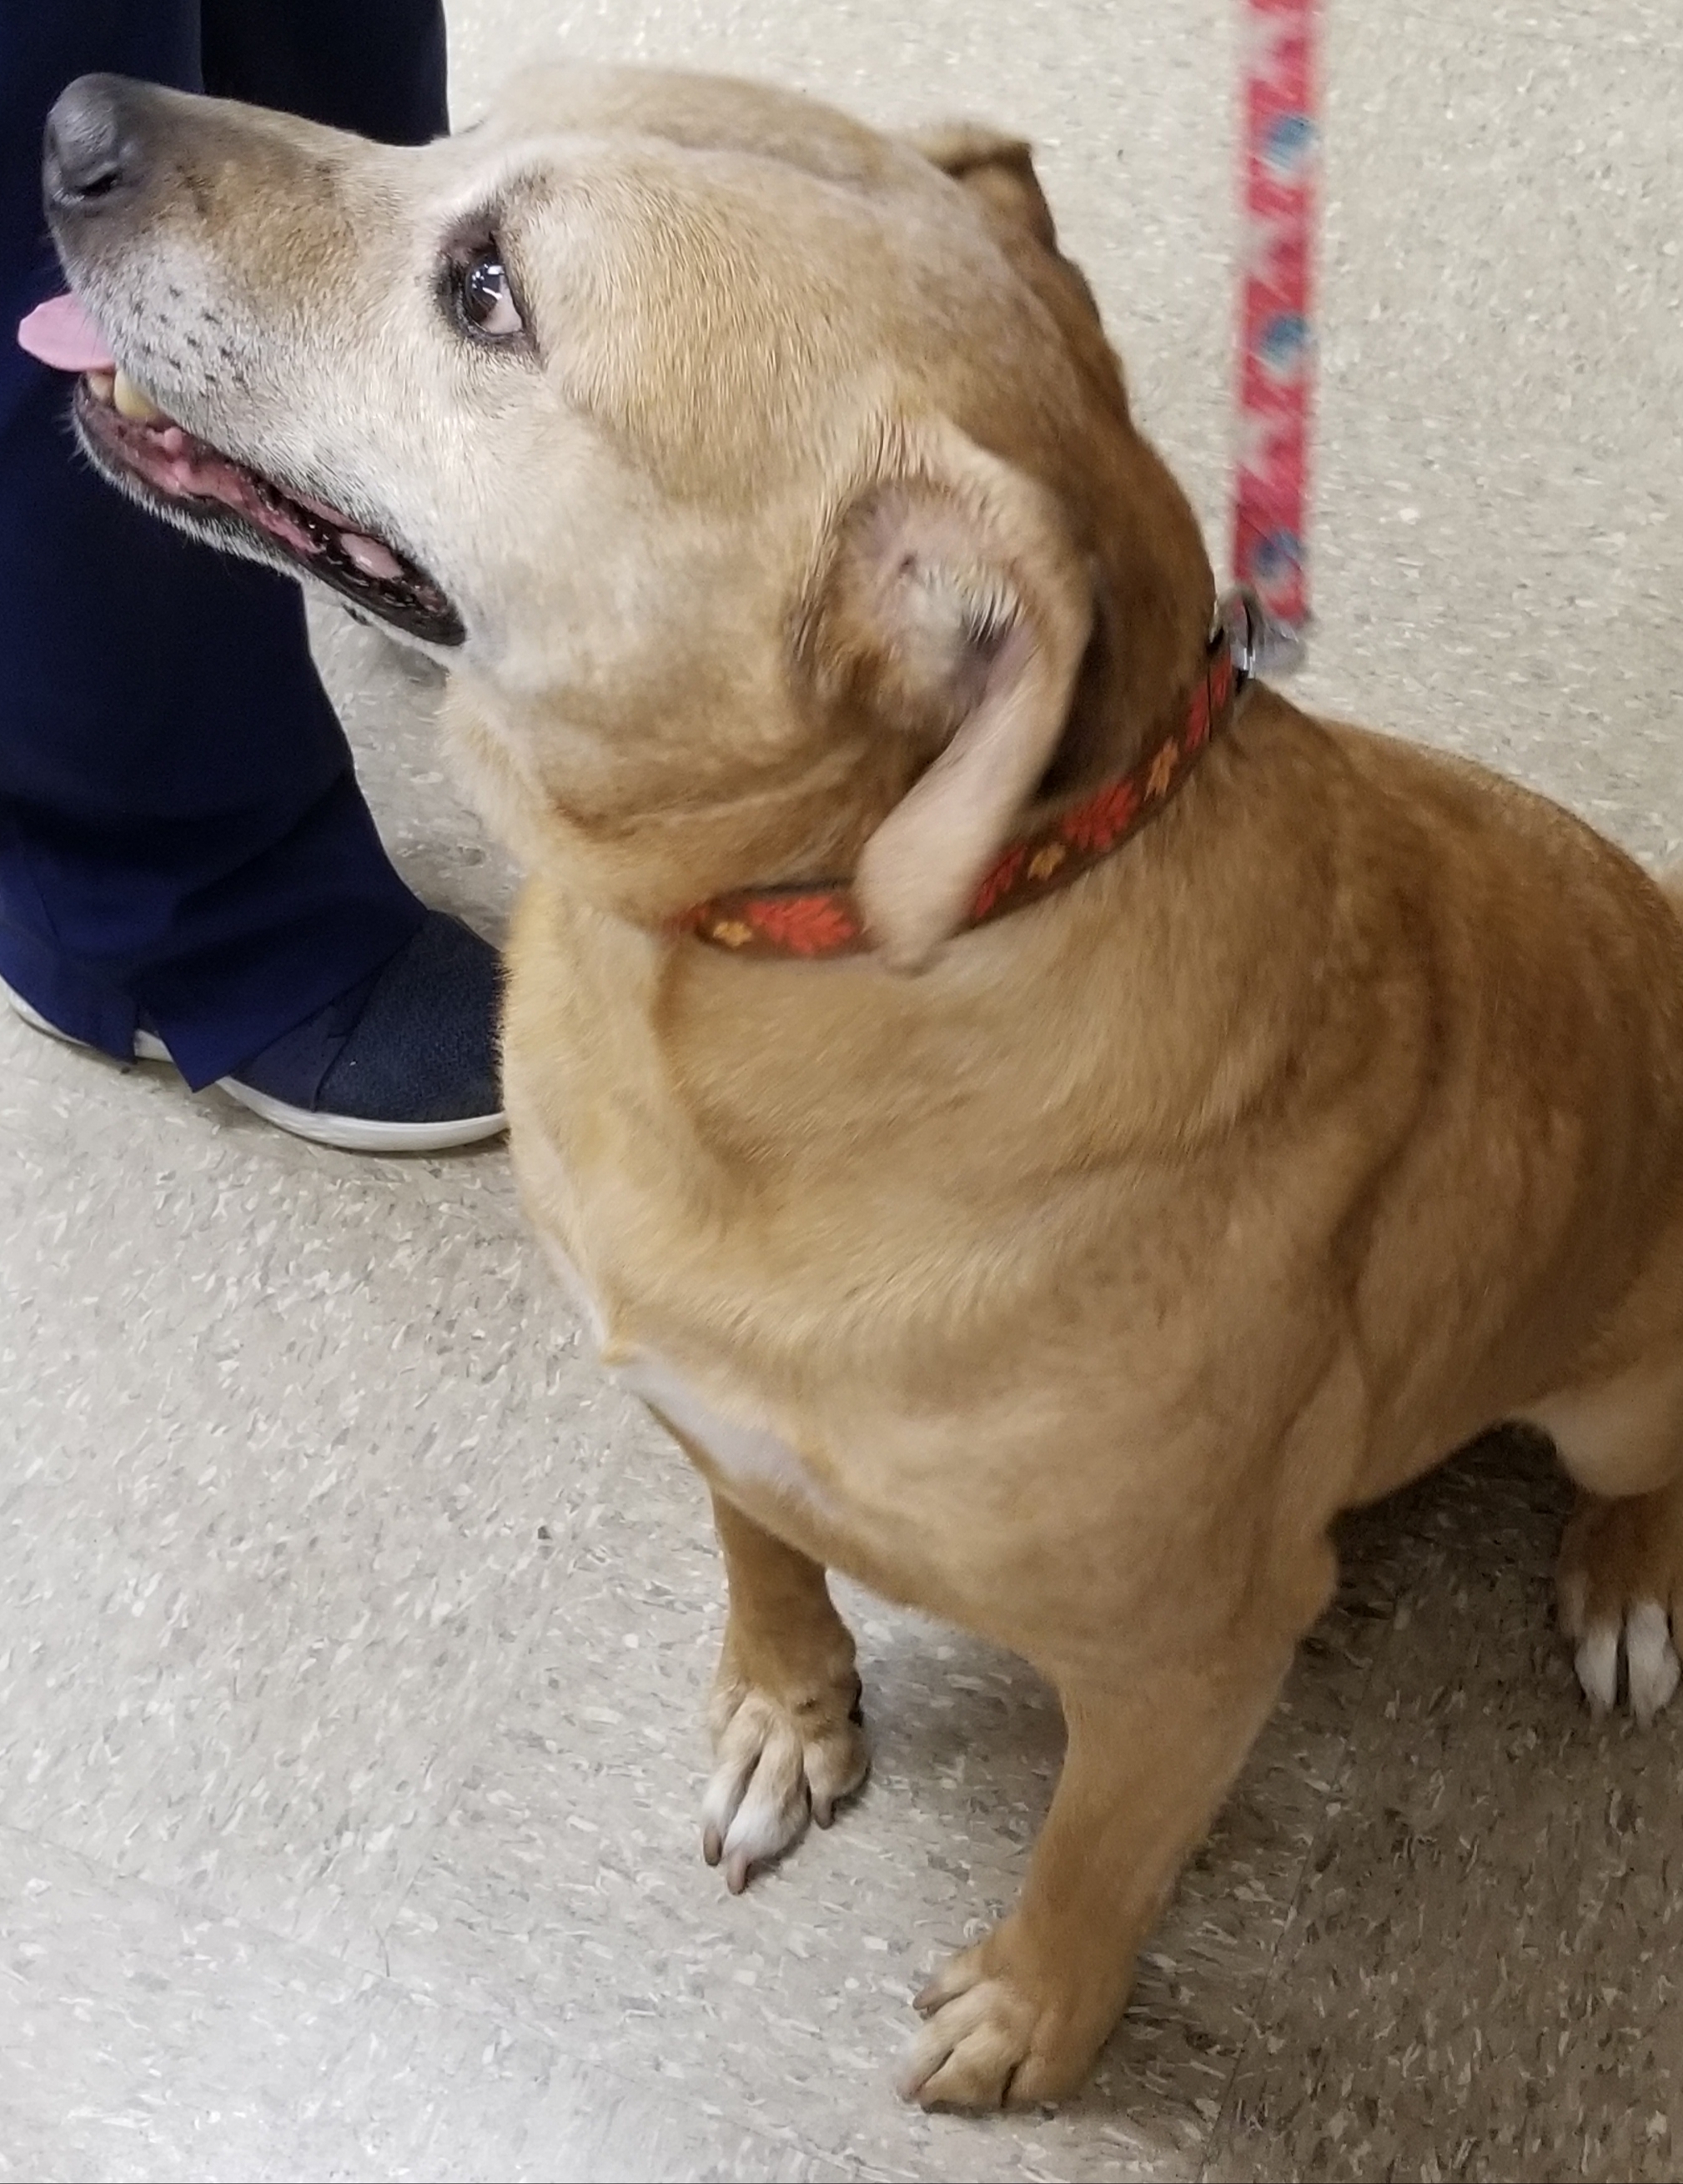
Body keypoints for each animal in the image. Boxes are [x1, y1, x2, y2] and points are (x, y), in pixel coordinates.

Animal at [43, 68, 1683, 2105]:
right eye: (451, 139)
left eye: (487, 292)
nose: (71, 119)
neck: (743, 971)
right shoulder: (698, 1402)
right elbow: (765, 1554)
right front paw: (784, 1710)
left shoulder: (1190, 1664)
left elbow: (1091, 1857)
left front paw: (1032, 2018)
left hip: (1618, 1389)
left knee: (1640, 1474)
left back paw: (1623, 1585)